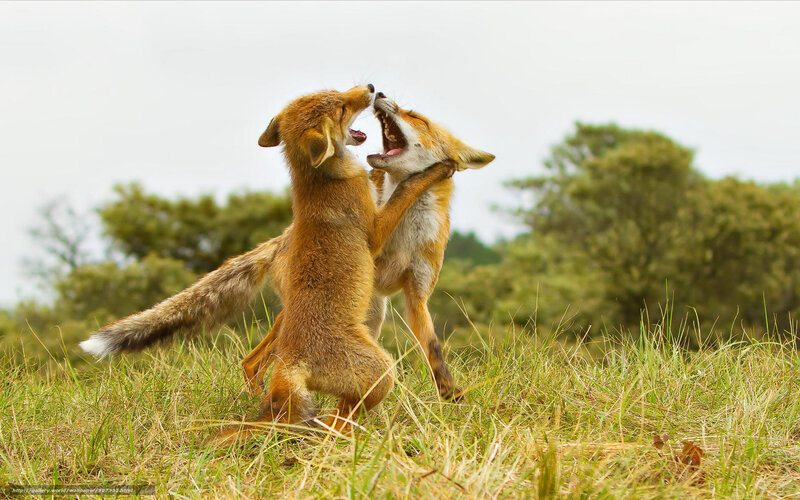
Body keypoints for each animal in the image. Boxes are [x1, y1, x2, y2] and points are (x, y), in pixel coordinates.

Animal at [81, 84, 457, 438]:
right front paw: (434, 170)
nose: (370, 87)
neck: (318, 182)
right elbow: (404, 191)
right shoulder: (375, 230)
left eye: (335, 93)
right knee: (333, 422)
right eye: (341, 107)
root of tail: (291, 363)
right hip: (381, 371)